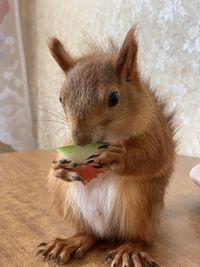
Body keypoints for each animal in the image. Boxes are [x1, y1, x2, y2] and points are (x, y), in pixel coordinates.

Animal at [37, 28, 175, 266]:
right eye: (61, 98)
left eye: (114, 97)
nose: (80, 139)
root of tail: (107, 230)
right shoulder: (66, 139)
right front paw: (58, 168)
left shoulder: (156, 131)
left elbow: (155, 155)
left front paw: (118, 157)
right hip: (66, 201)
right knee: (89, 234)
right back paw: (70, 242)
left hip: (140, 205)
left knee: (138, 238)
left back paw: (129, 250)